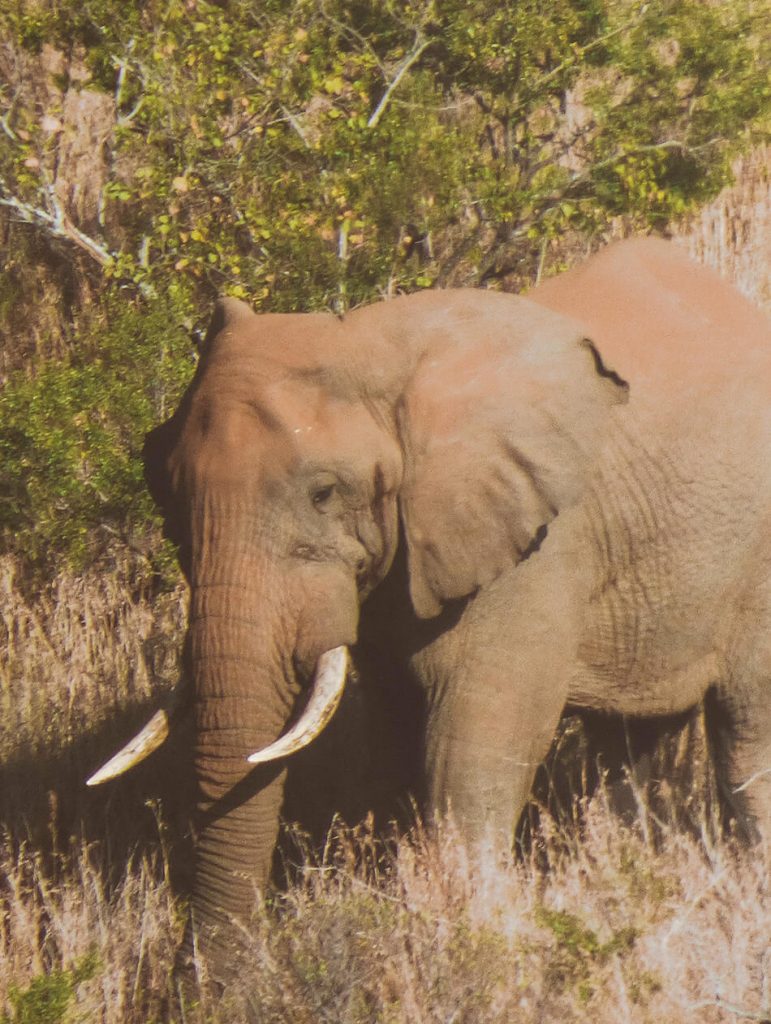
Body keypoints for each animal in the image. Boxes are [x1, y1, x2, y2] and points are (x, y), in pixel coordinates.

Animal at [90, 235, 769, 987]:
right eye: (168, 500)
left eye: (324, 493)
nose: (199, 988)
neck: (374, 351)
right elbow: (393, 739)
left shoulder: (538, 547)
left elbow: (473, 741)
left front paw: (477, 945)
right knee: (628, 743)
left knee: (746, 731)